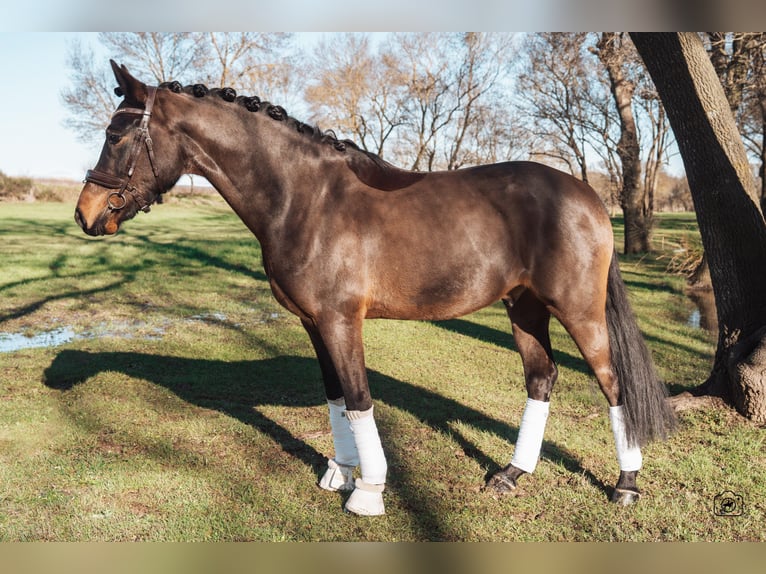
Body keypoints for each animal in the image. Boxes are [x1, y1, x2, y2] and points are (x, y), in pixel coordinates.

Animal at [75, 61, 675, 516]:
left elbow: (361, 398)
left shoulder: (342, 321)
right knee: (542, 378)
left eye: (115, 136)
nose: (85, 214)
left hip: (579, 311)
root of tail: (589, 196)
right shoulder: (313, 323)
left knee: (612, 383)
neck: (305, 198)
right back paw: (510, 474)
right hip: (524, 307)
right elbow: (337, 397)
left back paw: (626, 486)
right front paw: (339, 472)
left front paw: (368, 490)